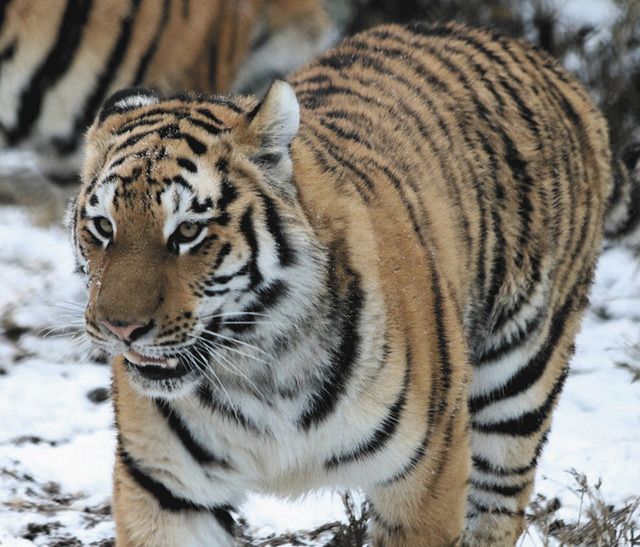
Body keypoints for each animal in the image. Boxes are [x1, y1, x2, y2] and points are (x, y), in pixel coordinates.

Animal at [67, 21, 632, 547]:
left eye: (187, 231)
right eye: (103, 227)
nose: (119, 330)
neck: (260, 366)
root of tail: (541, 58)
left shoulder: (426, 475)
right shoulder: (166, 491)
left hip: (517, 389)